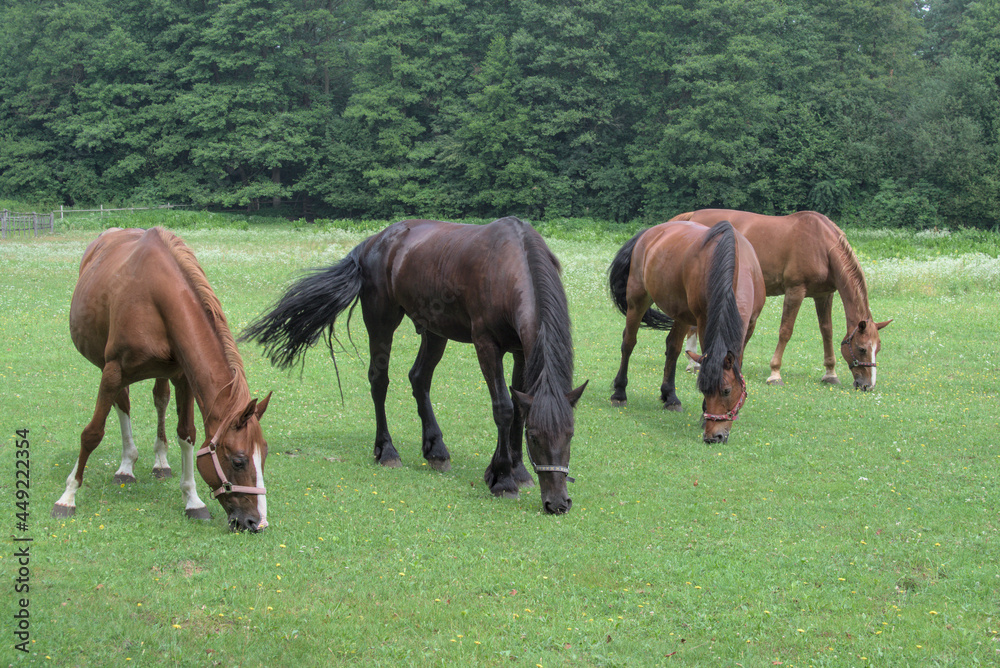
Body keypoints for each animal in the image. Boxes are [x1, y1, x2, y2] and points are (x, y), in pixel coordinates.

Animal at [52, 230, 272, 532]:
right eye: (239, 461)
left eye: (264, 455)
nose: (256, 522)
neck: (156, 297)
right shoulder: (113, 371)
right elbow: (92, 434)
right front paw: (67, 496)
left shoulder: (183, 378)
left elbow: (187, 434)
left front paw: (193, 501)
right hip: (109, 369)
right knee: (123, 404)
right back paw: (126, 466)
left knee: (159, 400)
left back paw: (160, 462)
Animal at [242, 217, 584, 516]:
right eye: (535, 438)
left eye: (570, 434)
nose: (558, 503)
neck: (509, 265)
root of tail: (373, 242)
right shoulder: (487, 345)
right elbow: (504, 408)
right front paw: (502, 479)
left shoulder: (521, 350)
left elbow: (519, 407)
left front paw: (519, 471)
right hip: (382, 321)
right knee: (379, 381)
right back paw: (387, 451)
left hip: (434, 331)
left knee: (419, 379)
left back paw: (436, 450)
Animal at [608, 219, 764, 446]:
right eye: (703, 390)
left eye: (727, 391)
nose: (714, 437)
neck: (735, 265)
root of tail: (649, 232)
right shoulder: (704, 321)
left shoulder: (750, 325)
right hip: (637, 300)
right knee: (628, 343)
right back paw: (619, 393)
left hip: (681, 314)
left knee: (673, 348)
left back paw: (670, 398)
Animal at [672, 209, 892, 392]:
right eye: (862, 349)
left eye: (878, 349)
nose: (868, 385)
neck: (821, 246)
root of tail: (693, 216)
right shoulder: (795, 290)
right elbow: (786, 331)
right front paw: (775, 374)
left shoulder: (824, 295)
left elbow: (826, 331)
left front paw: (830, 373)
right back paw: (694, 363)